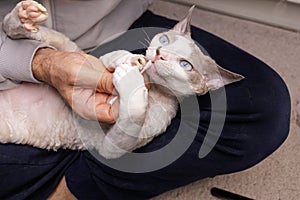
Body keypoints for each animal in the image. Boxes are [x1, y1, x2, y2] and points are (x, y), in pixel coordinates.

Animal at [0, 0, 244, 159]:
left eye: (186, 65)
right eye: (164, 40)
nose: (159, 55)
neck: (152, 89)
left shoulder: (110, 147)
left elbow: (132, 115)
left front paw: (130, 84)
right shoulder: (97, 60)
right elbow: (113, 56)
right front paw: (130, 60)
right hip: (66, 48)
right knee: (28, 33)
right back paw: (23, 16)